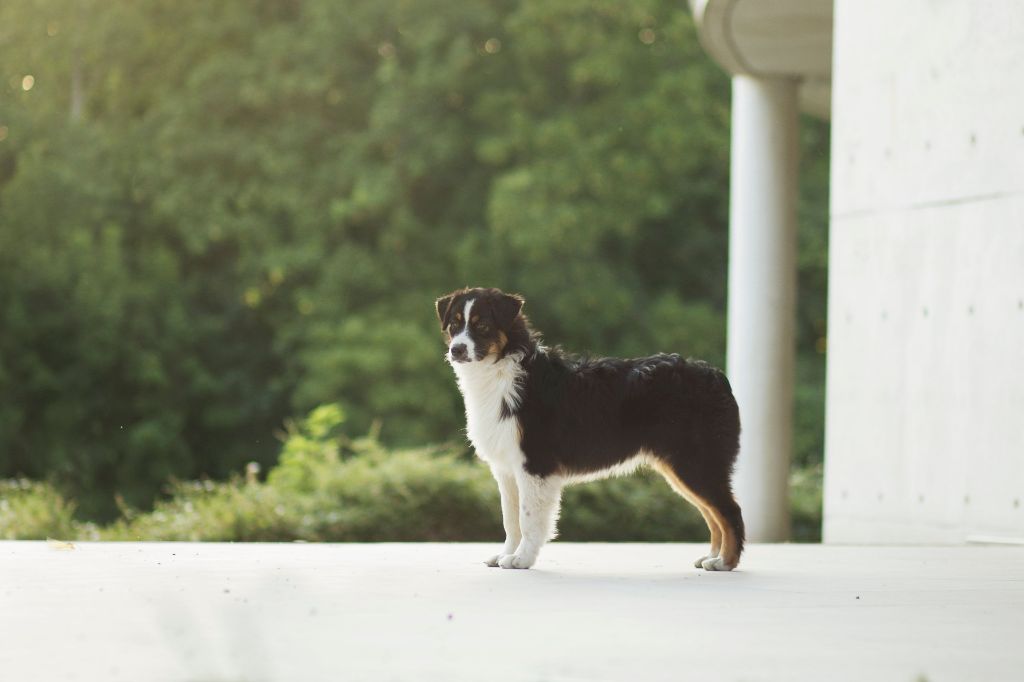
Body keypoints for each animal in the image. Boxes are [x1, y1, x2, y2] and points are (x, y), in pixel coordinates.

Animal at [434, 286, 745, 569]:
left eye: (482, 325)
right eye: (454, 325)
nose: (456, 349)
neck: (502, 372)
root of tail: (716, 375)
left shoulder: (535, 465)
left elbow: (528, 518)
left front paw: (521, 559)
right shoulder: (507, 468)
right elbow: (510, 519)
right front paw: (504, 555)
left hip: (695, 463)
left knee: (730, 511)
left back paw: (724, 562)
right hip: (683, 467)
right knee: (713, 514)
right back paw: (712, 557)